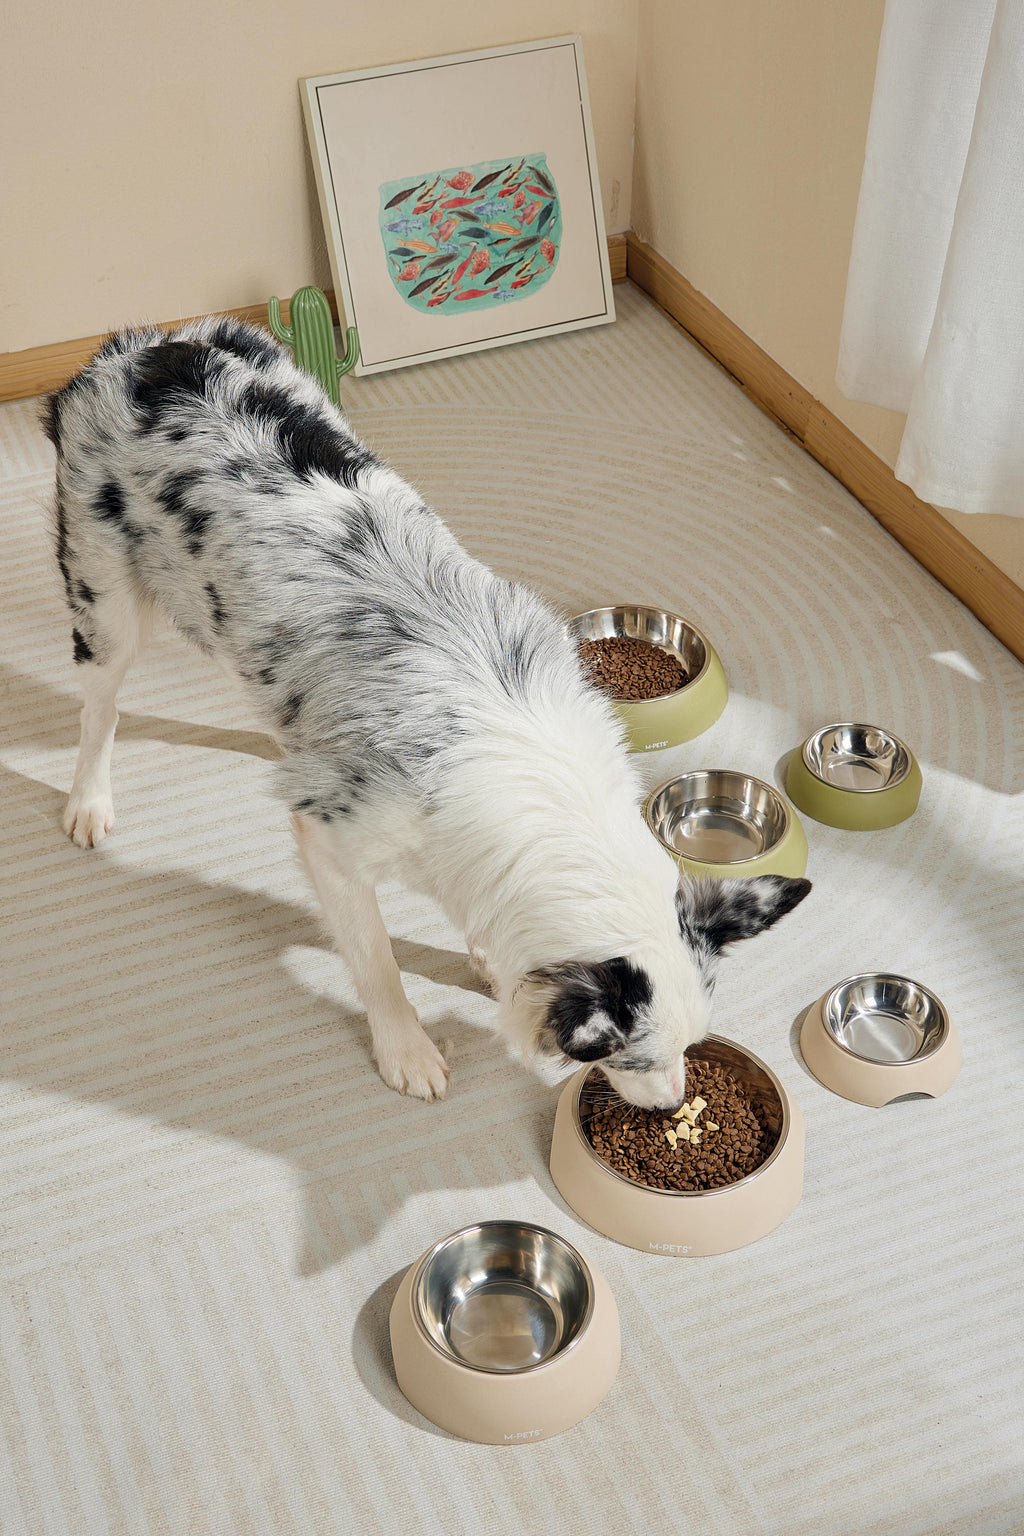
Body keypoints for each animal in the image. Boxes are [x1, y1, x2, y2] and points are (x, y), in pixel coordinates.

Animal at [44, 317, 810, 1105]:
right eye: (629, 1060)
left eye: (690, 1047)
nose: (674, 1104)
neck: (545, 790)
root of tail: (141, 347)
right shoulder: (334, 846)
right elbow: (377, 960)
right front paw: (407, 1050)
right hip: (104, 597)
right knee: (100, 706)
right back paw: (89, 803)